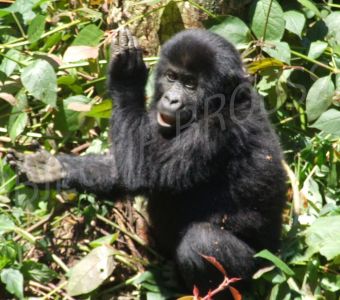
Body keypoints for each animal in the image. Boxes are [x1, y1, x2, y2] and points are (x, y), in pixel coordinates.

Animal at [7, 28, 286, 298]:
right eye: (172, 77)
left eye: (190, 84)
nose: (172, 100)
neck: (222, 100)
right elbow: (124, 167)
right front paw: (51, 170)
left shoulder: (215, 130)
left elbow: (143, 172)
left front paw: (126, 75)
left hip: (259, 272)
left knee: (203, 240)